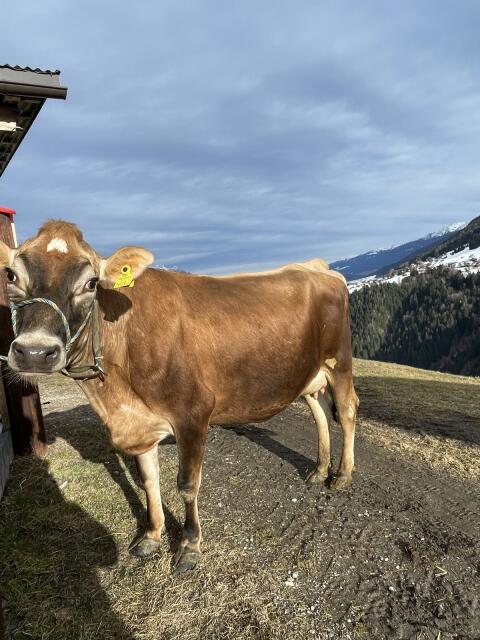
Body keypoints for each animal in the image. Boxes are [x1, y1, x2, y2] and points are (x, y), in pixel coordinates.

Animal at [0, 221, 359, 573]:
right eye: (11, 276)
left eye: (91, 283)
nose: (34, 352)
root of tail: (316, 266)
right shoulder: (141, 422)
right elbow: (148, 479)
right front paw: (152, 535)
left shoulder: (193, 414)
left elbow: (187, 484)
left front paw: (189, 546)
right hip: (307, 372)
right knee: (319, 411)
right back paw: (319, 469)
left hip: (339, 361)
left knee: (347, 410)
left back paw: (341, 475)